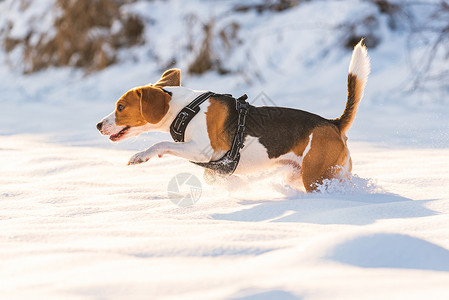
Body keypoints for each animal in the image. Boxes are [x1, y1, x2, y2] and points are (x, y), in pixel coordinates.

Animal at [98, 40, 372, 192]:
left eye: (120, 107)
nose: (99, 125)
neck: (186, 109)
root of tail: (333, 124)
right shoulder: (214, 166)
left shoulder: (202, 150)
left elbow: (161, 143)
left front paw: (141, 156)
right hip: (313, 173)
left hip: (314, 176)